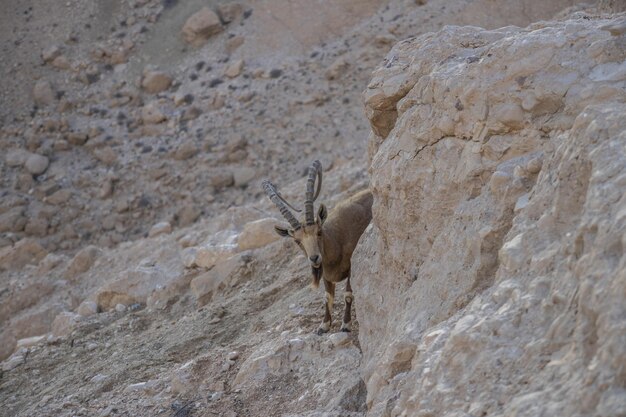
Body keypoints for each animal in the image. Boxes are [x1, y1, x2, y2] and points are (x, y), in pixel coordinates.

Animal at [262, 161, 372, 334]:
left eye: (319, 232)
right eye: (297, 241)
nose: (314, 258)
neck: (336, 243)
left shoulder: (352, 267)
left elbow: (348, 294)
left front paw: (346, 324)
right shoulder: (326, 275)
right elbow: (328, 297)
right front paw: (324, 326)